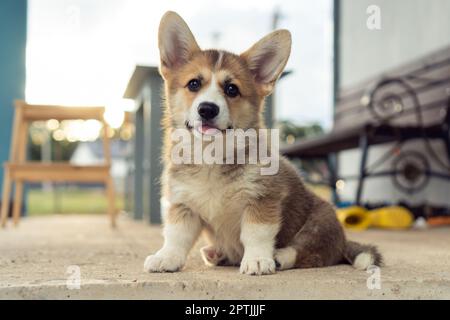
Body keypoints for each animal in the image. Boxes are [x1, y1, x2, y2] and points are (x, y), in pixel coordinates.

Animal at [144, 11, 384, 274]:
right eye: (194, 84)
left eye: (232, 89)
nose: (207, 109)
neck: (211, 154)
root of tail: (342, 241)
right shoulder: (183, 204)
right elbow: (177, 236)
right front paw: (166, 257)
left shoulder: (261, 200)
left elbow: (255, 234)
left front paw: (258, 260)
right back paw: (216, 253)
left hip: (321, 222)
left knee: (309, 251)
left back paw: (279, 257)